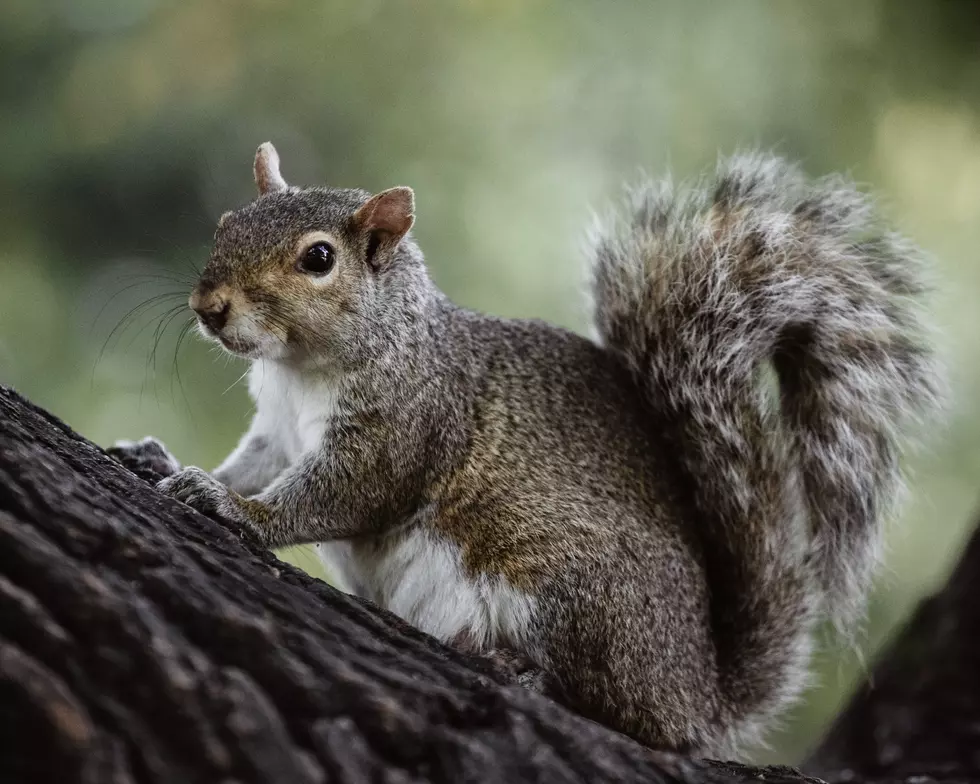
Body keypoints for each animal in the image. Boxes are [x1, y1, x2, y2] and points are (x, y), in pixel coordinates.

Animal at [111, 144, 944, 756]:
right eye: (228, 223)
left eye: (318, 259)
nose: (209, 307)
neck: (303, 370)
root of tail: (700, 694)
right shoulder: (277, 429)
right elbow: (252, 462)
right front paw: (168, 463)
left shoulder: (406, 427)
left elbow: (336, 495)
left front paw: (237, 510)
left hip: (579, 596)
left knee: (618, 710)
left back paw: (530, 676)